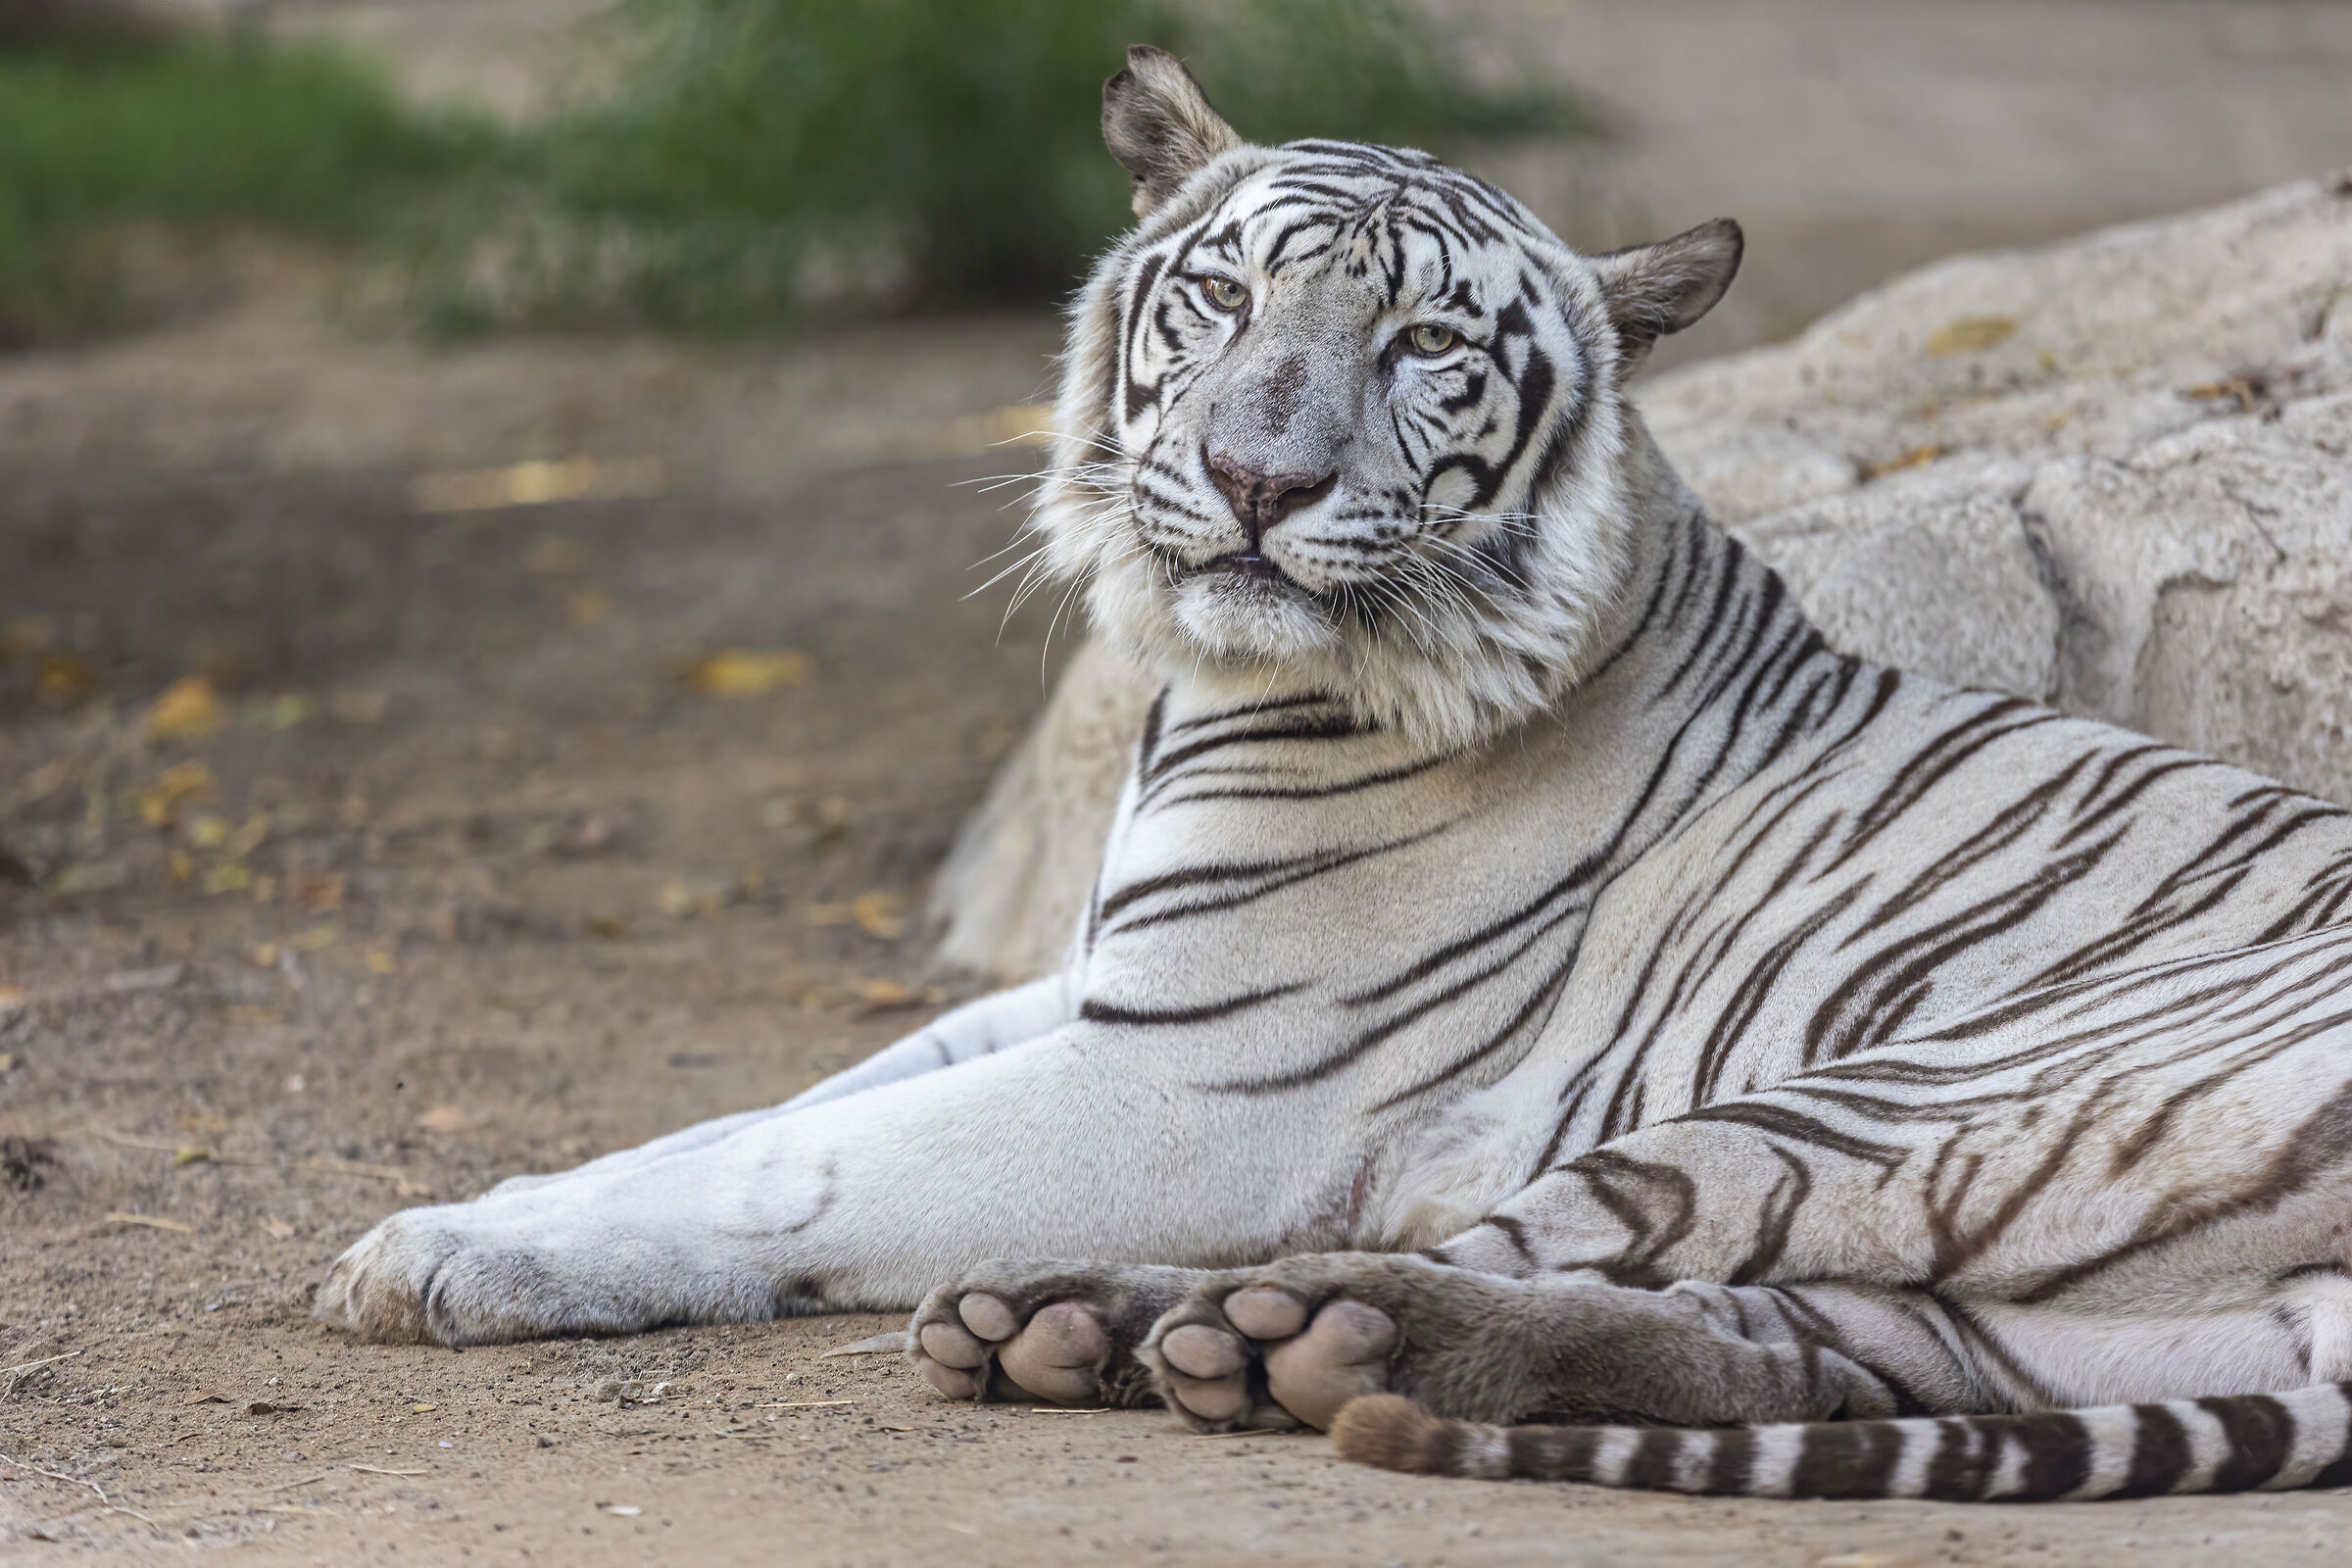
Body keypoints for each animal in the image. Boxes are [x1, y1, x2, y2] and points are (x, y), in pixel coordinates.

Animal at [313, 46, 2352, 1503]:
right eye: (1219, 297)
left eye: (1427, 345)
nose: (1255, 480)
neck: (1226, 688)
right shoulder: (1100, 988)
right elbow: (745, 1113)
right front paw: (486, 1209)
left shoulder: (1199, 1083)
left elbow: (793, 1167)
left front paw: (440, 1258)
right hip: (2003, 1311)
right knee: (1775, 1342)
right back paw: (1133, 1338)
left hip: (1904, 1094)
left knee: (1516, 1250)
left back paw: (1170, 1323)